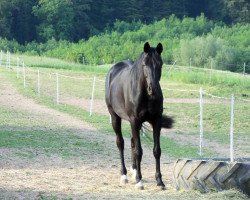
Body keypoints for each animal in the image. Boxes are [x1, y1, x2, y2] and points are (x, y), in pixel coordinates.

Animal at [104, 41, 173, 189]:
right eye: (144, 64)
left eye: (160, 64)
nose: (153, 89)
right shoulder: (134, 121)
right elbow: (139, 151)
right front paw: (139, 181)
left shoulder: (156, 122)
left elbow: (156, 151)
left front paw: (159, 181)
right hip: (115, 117)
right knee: (120, 143)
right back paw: (124, 175)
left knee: (131, 143)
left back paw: (134, 171)